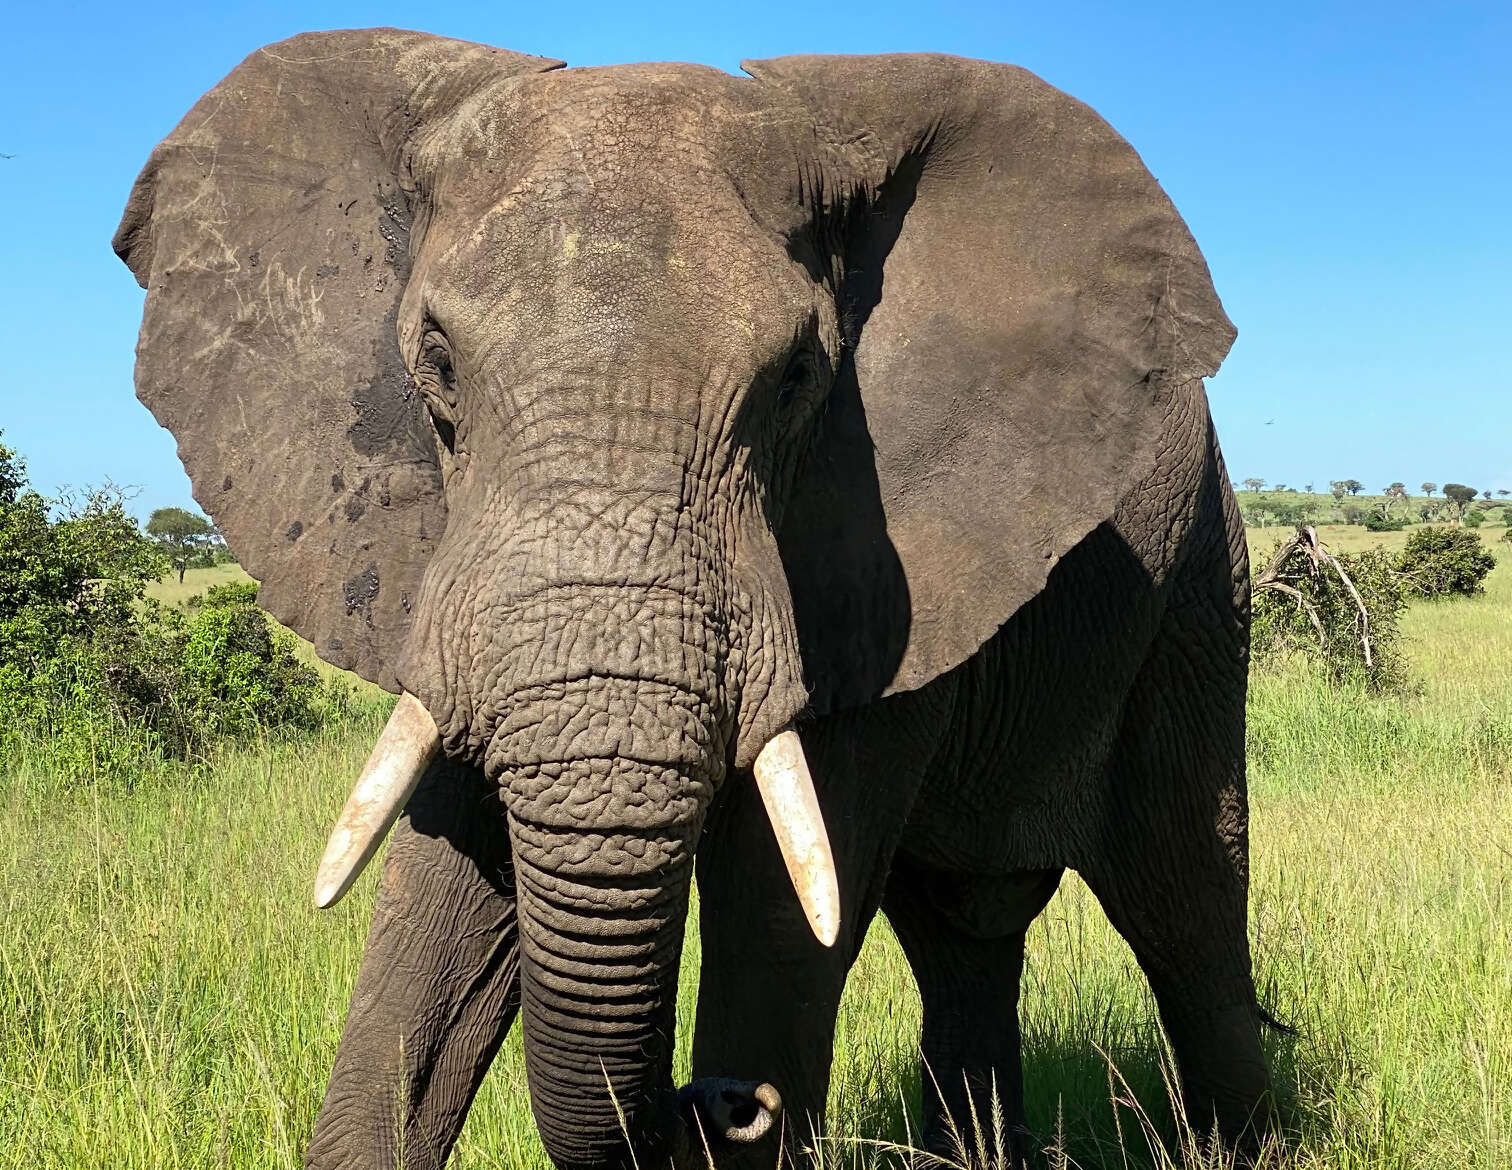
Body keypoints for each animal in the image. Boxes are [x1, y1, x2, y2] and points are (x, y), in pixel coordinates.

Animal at [113, 28, 1271, 1169]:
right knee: (962, 928)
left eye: (798, 377)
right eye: (436, 362)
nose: (723, 1100)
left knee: (1186, 893)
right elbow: (436, 910)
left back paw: (1241, 1144)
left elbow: (781, 906)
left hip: (1202, 582)